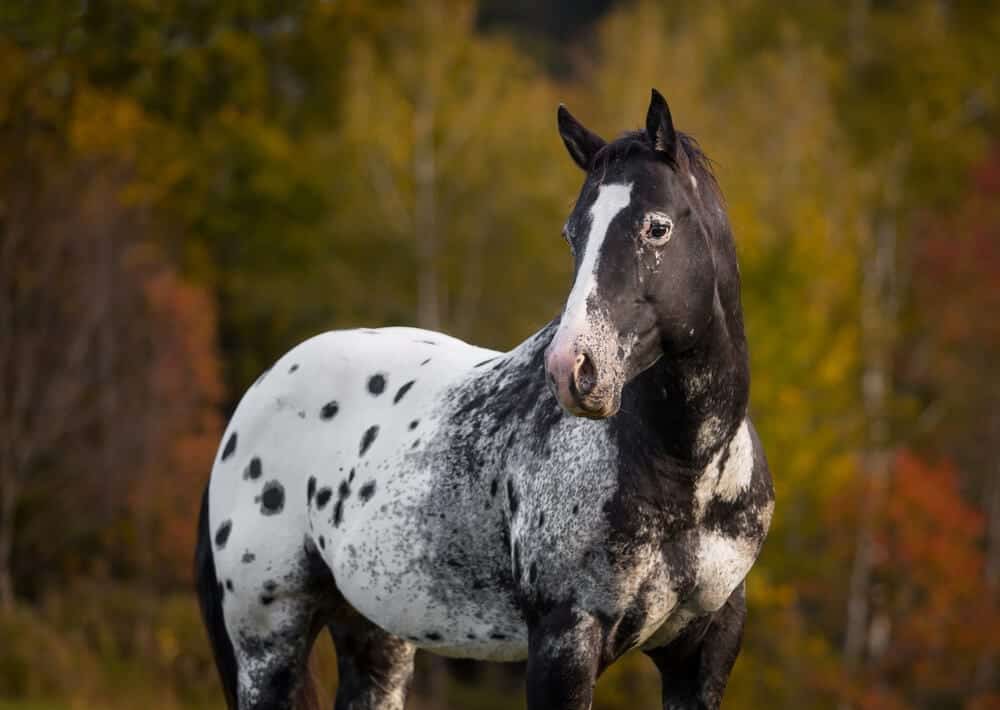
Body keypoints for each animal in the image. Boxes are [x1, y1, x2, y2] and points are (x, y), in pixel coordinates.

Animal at [193, 89, 772, 710]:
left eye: (657, 227)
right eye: (572, 233)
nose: (571, 369)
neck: (684, 470)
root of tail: (254, 400)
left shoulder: (703, 654)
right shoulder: (563, 642)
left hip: (376, 639)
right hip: (268, 643)